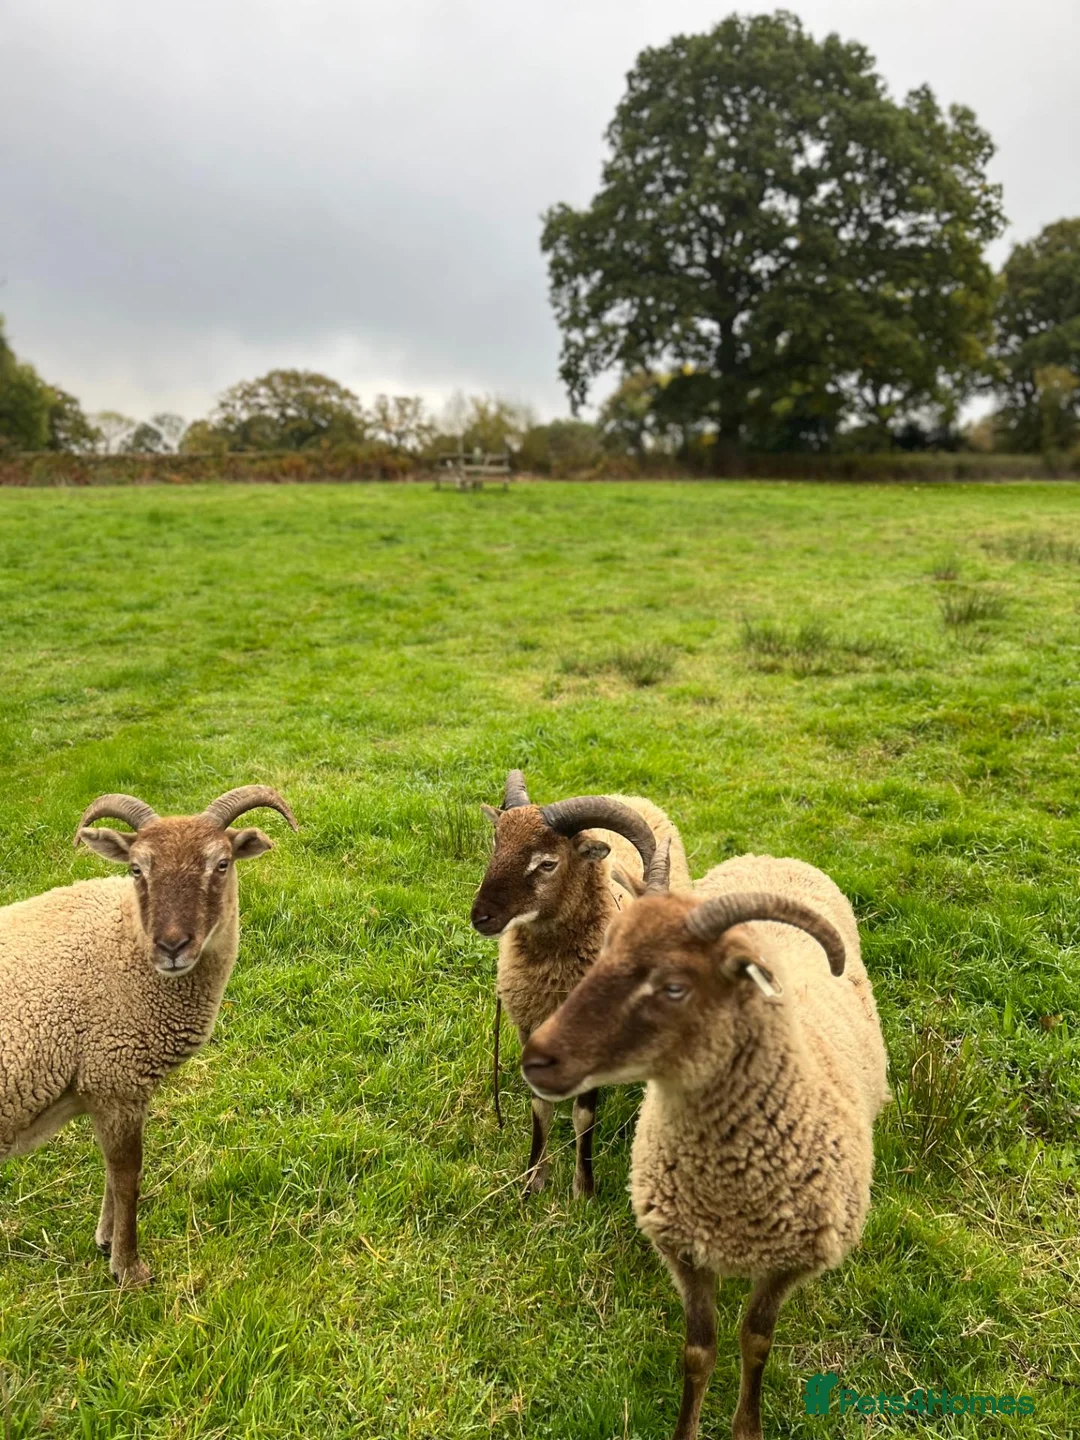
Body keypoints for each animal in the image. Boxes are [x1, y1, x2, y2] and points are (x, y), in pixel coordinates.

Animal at [0, 785, 297, 1288]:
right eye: (136, 869)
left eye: (222, 863)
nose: (172, 946)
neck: (127, 943)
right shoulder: (117, 1077)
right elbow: (127, 1177)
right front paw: (128, 1266)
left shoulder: (104, 1087)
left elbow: (110, 1171)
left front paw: (105, 1240)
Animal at [470, 769, 690, 1198]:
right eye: (496, 844)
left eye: (547, 863)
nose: (481, 916)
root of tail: (629, 795)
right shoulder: (529, 1026)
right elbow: (540, 1106)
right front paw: (532, 1181)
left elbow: (584, 1115)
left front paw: (583, 1189)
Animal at [522, 843, 889, 1440]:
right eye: (602, 954)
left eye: (675, 986)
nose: (536, 1057)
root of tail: (773, 854)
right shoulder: (684, 1251)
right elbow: (699, 1351)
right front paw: (687, 1429)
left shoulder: (791, 1263)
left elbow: (755, 1342)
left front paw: (747, 1426)